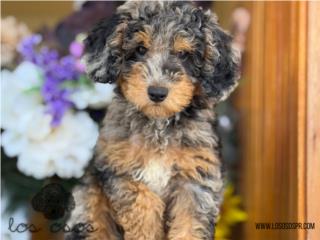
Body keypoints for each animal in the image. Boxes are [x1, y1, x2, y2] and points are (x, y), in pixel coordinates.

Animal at [65, 0, 240, 239]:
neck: (159, 126)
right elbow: (142, 206)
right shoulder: (120, 170)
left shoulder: (195, 178)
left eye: (183, 54)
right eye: (140, 49)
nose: (157, 92)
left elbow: (189, 224)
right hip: (87, 200)